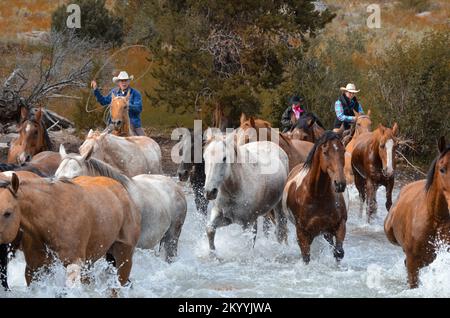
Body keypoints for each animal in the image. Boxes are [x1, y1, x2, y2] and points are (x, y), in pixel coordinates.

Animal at [282, 131, 348, 264]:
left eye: (343, 150)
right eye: (325, 152)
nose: (340, 184)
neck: (318, 194)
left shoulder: (340, 224)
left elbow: (338, 252)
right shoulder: (302, 233)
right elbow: (306, 257)